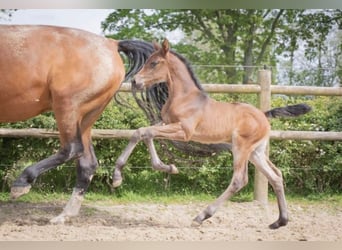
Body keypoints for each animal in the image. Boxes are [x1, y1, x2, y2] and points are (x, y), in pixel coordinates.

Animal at [0, 25, 154, 224]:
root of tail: (112, 44)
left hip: (67, 105)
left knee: (72, 149)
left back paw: (21, 184)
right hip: (85, 118)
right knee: (87, 164)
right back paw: (65, 215)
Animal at [113, 38, 312, 229]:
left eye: (154, 63)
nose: (135, 82)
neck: (185, 98)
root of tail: (263, 115)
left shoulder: (184, 131)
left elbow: (145, 132)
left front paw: (125, 175)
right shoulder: (166, 123)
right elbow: (142, 133)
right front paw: (160, 168)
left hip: (241, 147)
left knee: (239, 180)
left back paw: (201, 216)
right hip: (256, 152)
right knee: (276, 176)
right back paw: (280, 221)